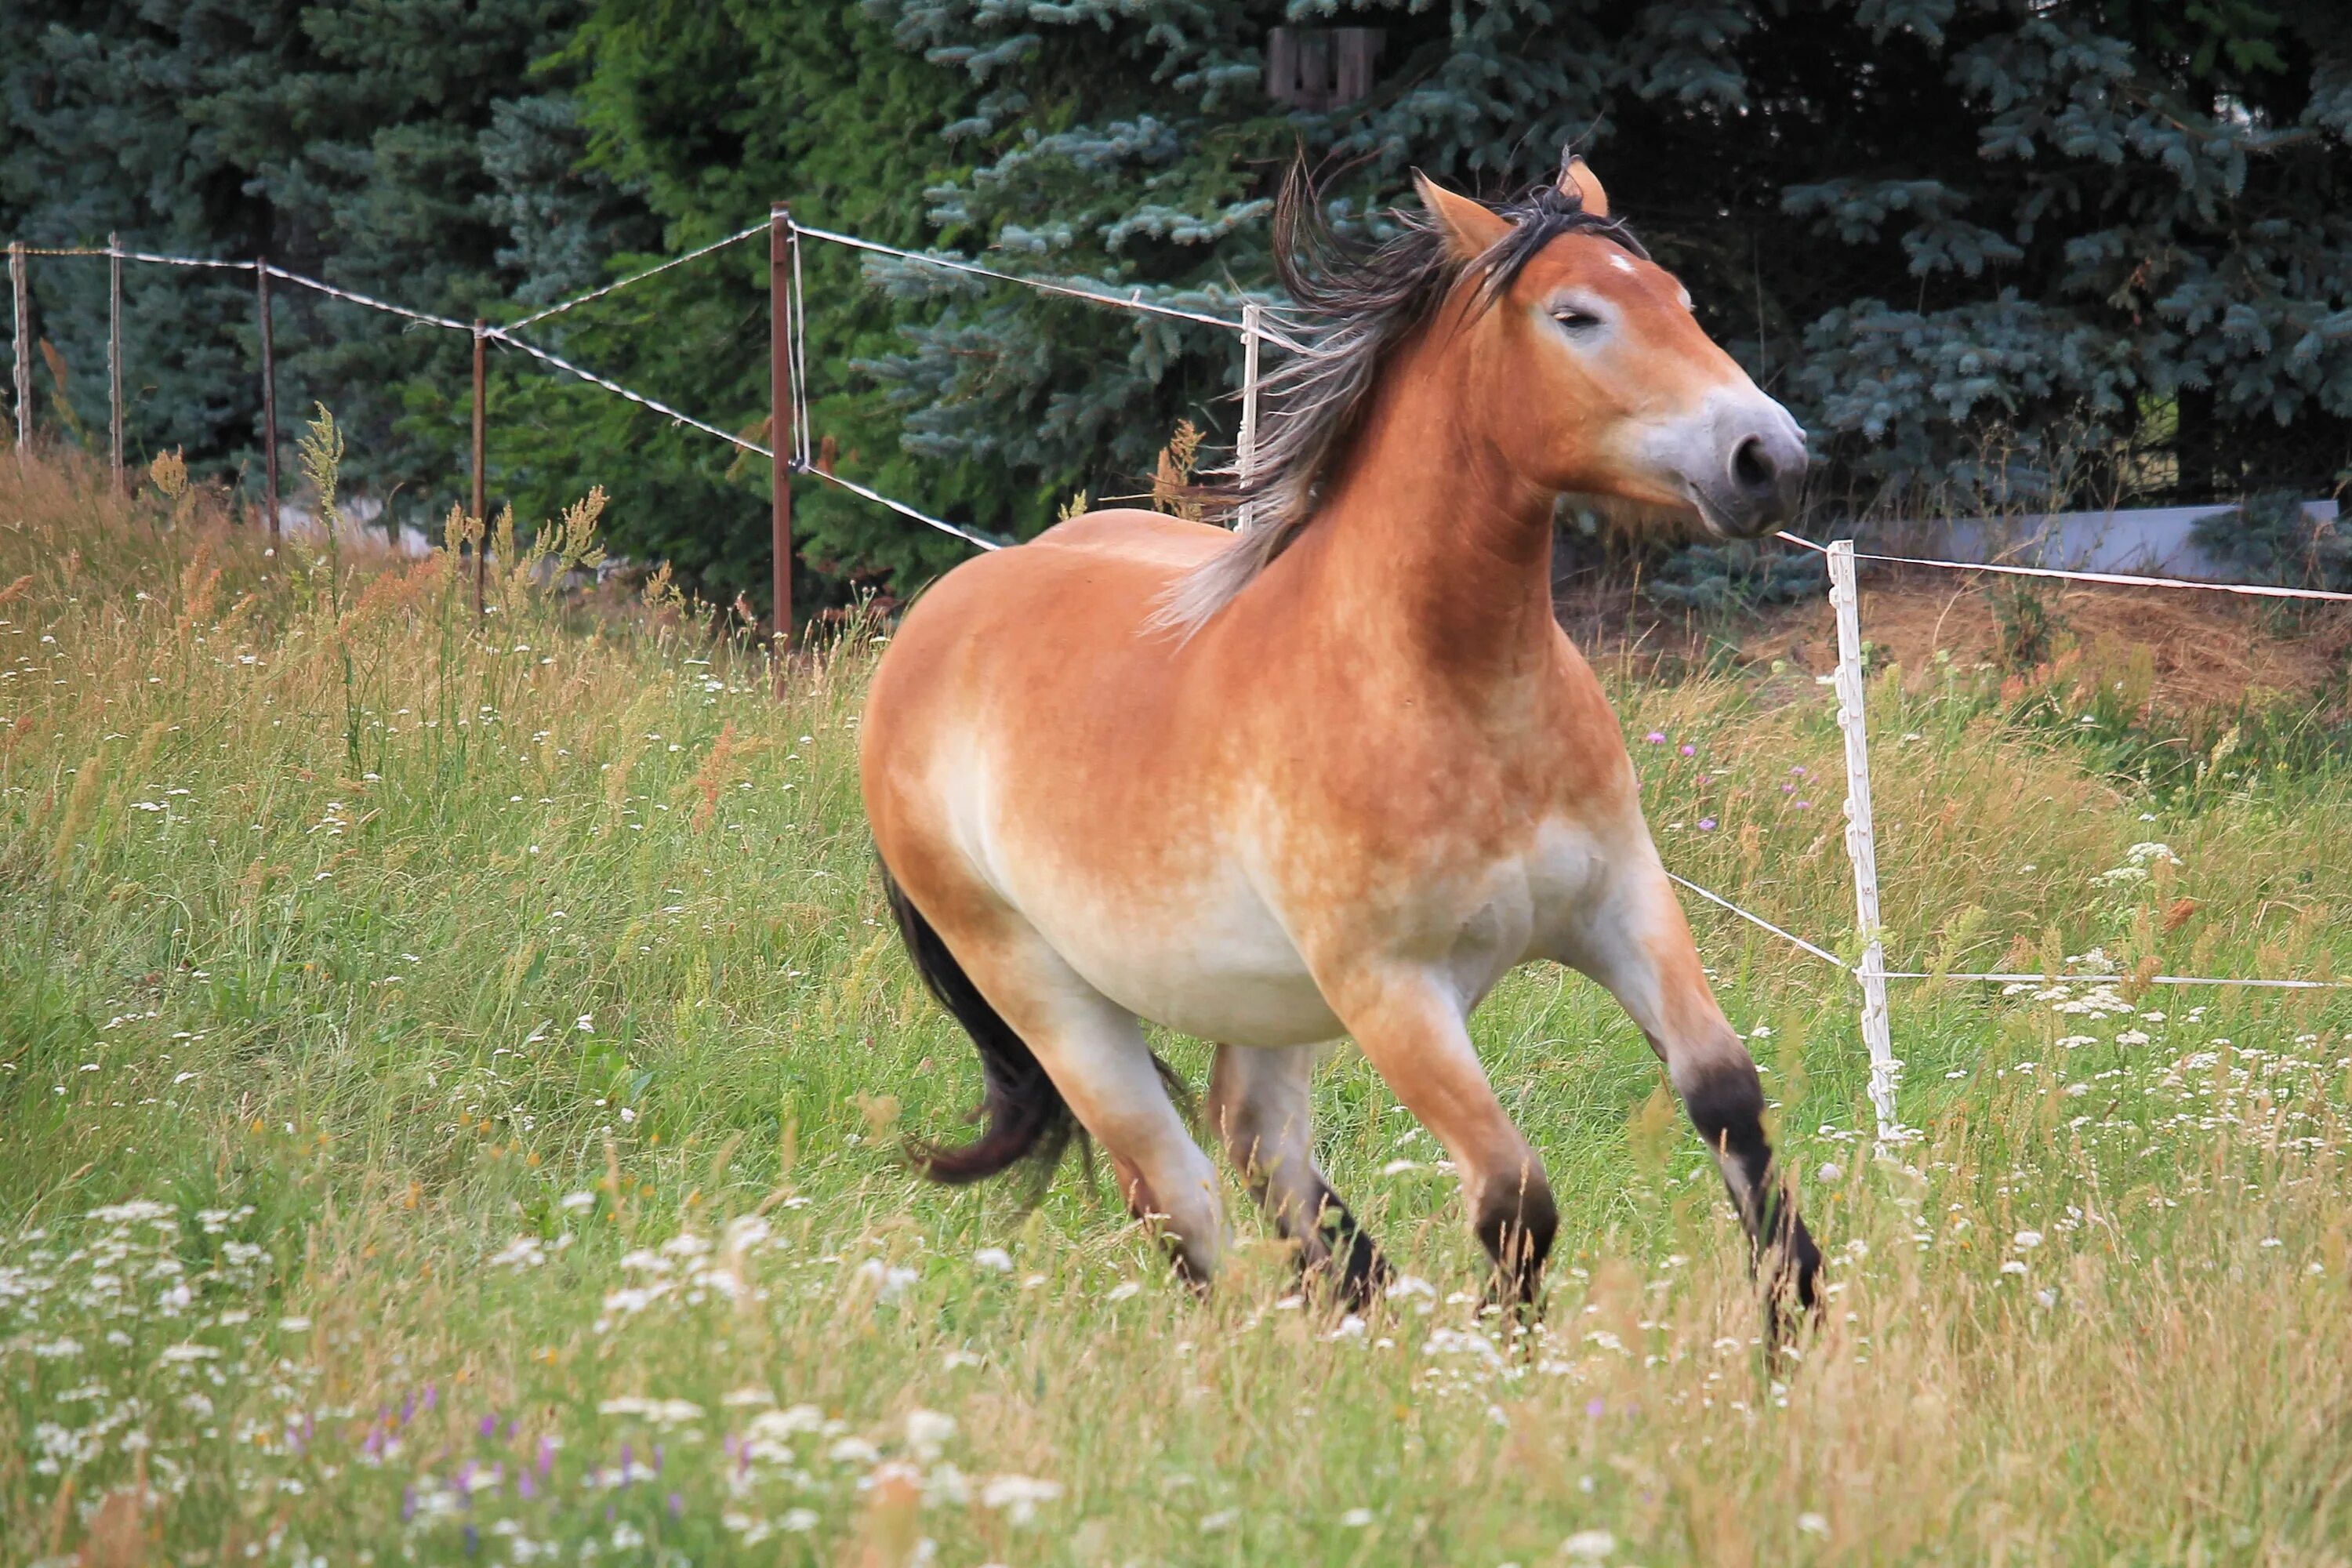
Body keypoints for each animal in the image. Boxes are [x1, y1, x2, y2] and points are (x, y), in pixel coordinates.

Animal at [861, 156, 1816, 1316]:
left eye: (1679, 298)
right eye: (1576, 315)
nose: (1769, 459)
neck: (1451, 691)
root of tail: (927, 630)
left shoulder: (1621, 901)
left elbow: (1724, 1097)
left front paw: (1796, 1326)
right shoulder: (1392, 991)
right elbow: (1514, 1198)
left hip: (1266, 999)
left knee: (1253, 1132)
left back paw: (1356, 1316)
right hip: (1049, 991)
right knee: (1178, 1193)